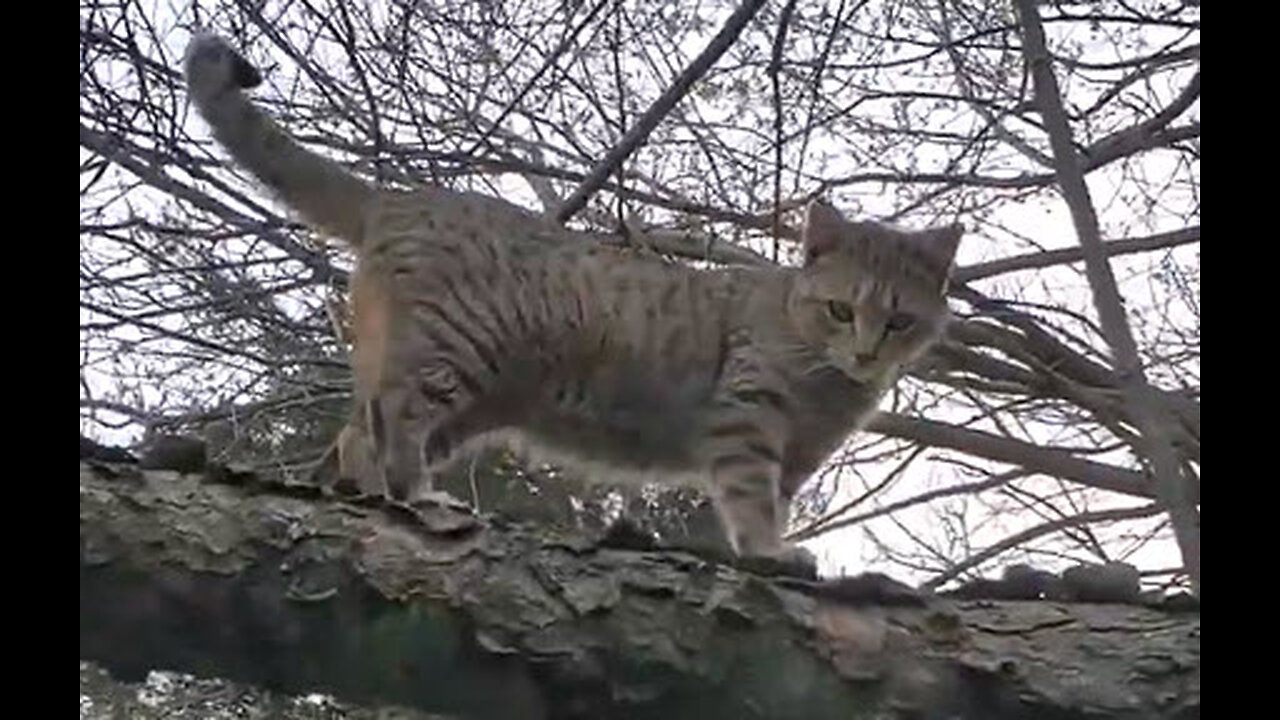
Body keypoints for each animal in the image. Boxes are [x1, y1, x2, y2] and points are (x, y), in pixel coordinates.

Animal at [183, 33, 962, 558]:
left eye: (898, 320)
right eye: (841, 310)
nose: (866, 352)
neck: (826, 381)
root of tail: (397, 197)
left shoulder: (794, 462)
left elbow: (768, 506)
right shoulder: (748, 421)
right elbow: (751, 505)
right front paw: (771, 555)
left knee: (357, 435)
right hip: (449, 355)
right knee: (390, 425)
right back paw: (420, 498)